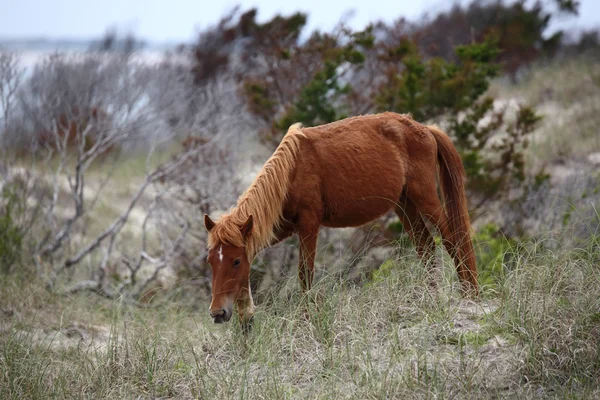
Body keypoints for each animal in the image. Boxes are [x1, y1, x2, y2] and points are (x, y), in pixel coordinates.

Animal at [204, 111, 480, 326]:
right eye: (211, 262)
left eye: (236, 261)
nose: (218, 312)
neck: (290, 173)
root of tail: (424, 129)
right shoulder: (278, 230)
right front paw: (246, 317)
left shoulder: (308, 225)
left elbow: (305, 274)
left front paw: (308, 320)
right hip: (404, 205)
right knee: (426, 246)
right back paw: (430, 298)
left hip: (424, 197)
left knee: (452, 239)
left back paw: (470, 295)